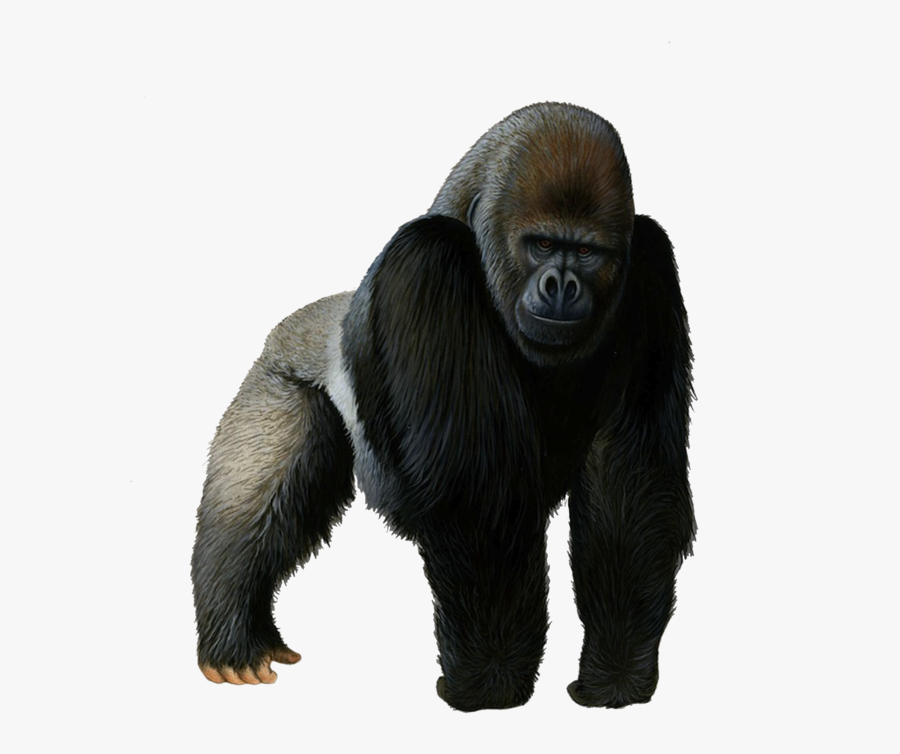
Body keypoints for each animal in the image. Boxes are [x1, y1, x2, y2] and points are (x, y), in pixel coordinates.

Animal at [191, 102, 695, 710]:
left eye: (587, 252)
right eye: (541, 245)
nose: (561, 286)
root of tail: (313, 317)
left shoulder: (649, 265)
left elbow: (630, 483)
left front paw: (615, 678)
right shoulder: (427, 259)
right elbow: (478, 501)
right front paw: (490, 682)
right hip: (278, 375)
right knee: (253, 496)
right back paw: (235, 632)